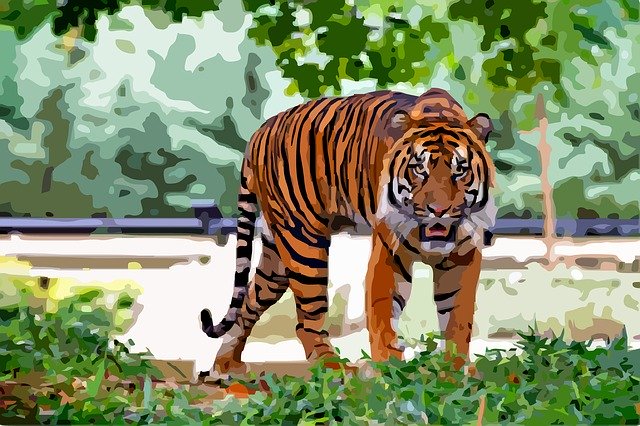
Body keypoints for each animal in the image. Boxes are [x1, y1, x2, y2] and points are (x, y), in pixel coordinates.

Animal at [199, 88, 495, 374]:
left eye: (460, 170)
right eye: (419, 169)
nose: (438, 210)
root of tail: (259, 132)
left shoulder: (463, 257)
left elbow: (458, 319)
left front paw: (453, 370)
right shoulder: (389, 253)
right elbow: (383, 315)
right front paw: (389, 371)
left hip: (278, 258)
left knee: (249, 302)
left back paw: (226, 366)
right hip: (303, 244)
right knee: (306, 321)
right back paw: (335, 369)